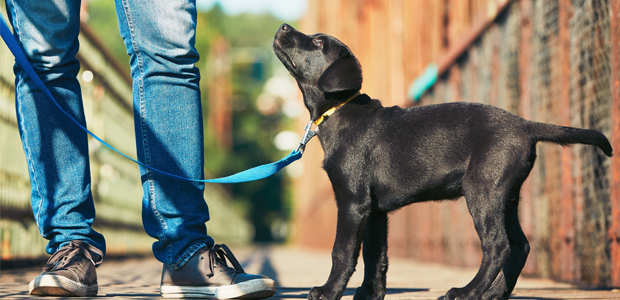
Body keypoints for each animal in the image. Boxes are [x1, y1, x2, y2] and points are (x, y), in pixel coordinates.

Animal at [274, 24, 612, 300]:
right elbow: (375, 256)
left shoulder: (353, 202)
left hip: (483, 191)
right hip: (506, 196)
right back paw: (493, 294)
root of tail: (525, 125)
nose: (283, 25)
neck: (340, 111)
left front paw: (328, 291)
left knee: (497, 246)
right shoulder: (375, 210)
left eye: (318, 42)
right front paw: (369, 294)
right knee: (519, 246)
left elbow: (342, 252)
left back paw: (467, 292)